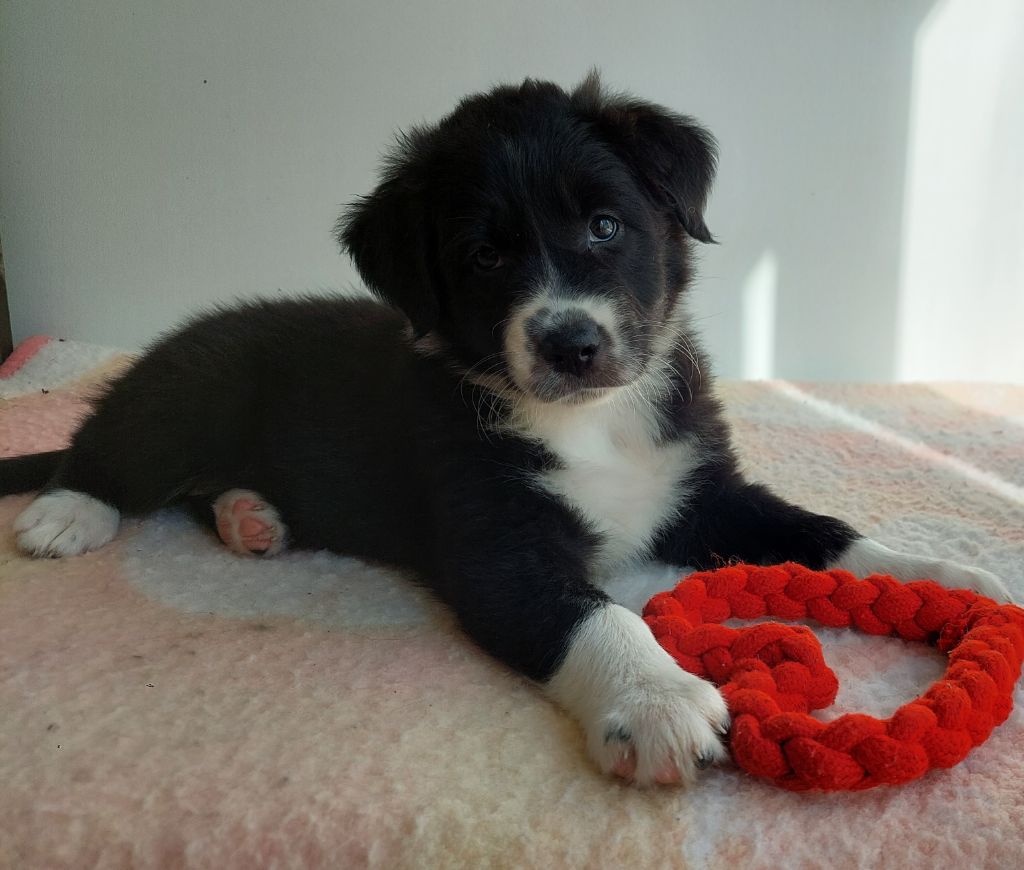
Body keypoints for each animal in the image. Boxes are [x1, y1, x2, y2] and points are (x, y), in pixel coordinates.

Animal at [1, 74, 1011, 787]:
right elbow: (594, 611)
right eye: (484, 256)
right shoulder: (496, 537)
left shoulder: (700, 487)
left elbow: (817, 531)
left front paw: (936, 581)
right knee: (111, 448)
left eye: (604, 225)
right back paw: (69, 513)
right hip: (182, 395)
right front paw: (653, 697)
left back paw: (252, 516)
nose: (571, 342)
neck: (591, 421)